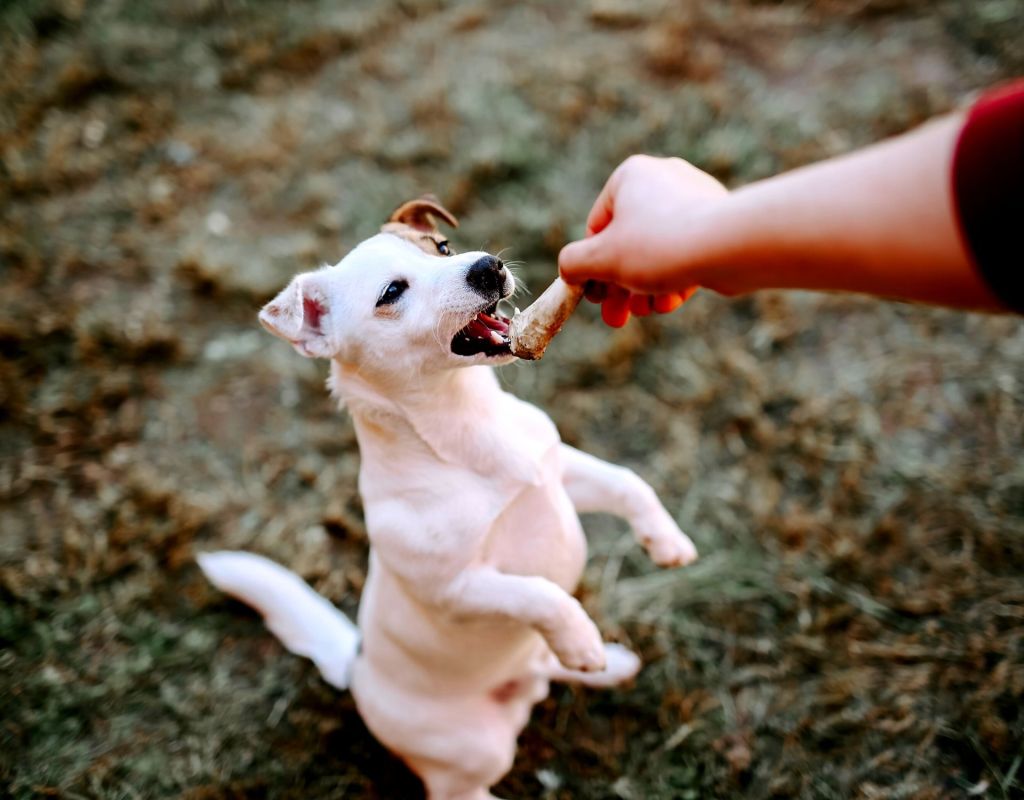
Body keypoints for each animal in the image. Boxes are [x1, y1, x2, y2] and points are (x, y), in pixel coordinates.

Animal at [197, 194, 696, 798]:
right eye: (392, 291)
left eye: (442, 246)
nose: (488, 266)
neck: (464, 422)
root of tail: (355, 668)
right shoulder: (458, 589)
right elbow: (541, 596)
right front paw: (579, 636)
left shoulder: (558, 473)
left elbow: (628, 481)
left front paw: (665, 541)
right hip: (473, 751)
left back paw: (609, 664)